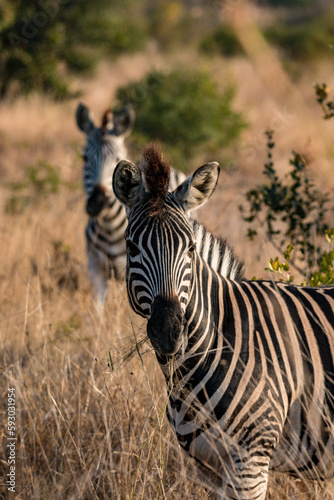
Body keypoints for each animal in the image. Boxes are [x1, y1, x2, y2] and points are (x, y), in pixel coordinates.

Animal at [75, 106, 243, 304]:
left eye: (117, 158)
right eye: (85, 158)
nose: (97, 204)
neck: (109, 227)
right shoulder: (95, 268)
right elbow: (97, 309)